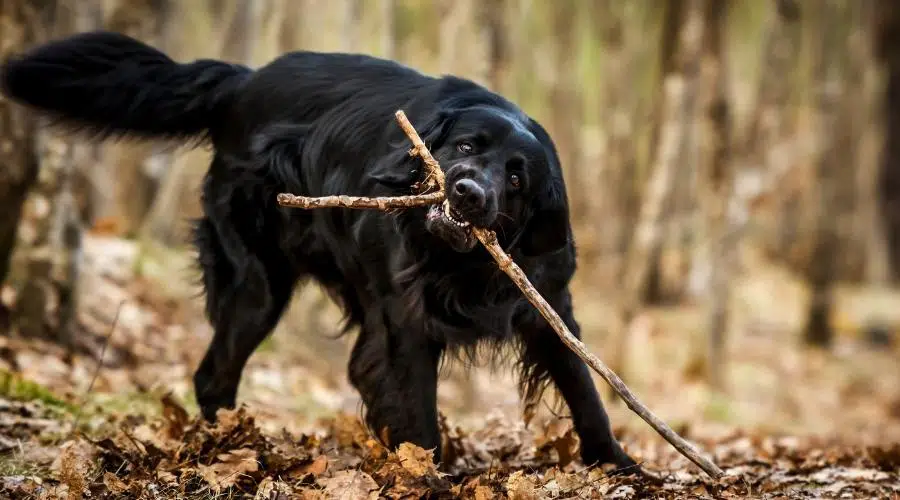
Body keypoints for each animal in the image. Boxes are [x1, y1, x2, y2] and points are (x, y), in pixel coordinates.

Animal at [0, 33, 636, 470]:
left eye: (518, 178)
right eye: (465, 147)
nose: (468, 192)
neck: (463, 263)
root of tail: (243, 80)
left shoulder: (546, 304)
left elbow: (586, 392)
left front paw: (620, 466)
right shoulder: (406, 319)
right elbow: (419, 413)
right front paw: (426, 474)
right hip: (258, 282)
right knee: (213, 373)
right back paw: (228, 446)